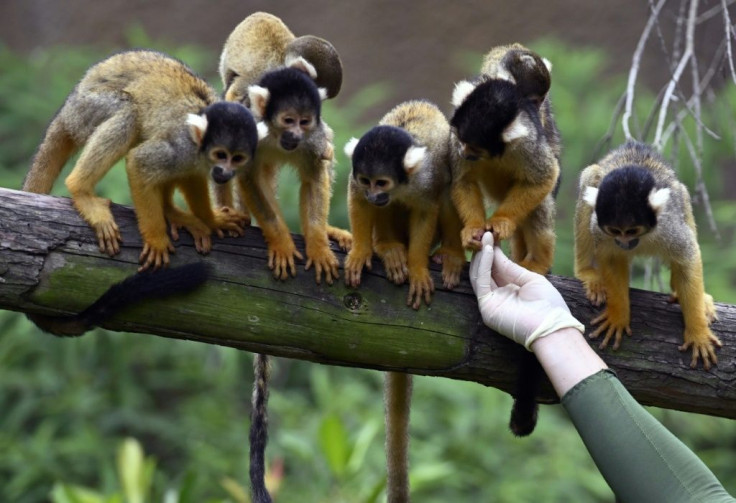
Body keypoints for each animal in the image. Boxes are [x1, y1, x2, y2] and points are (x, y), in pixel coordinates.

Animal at [24, 50, 260, 270]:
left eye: (238, 159)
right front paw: (156, 239)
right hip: (85, 111)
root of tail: (68, 105)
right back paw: (81, 191)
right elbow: (139, 162)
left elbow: (190, 177)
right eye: (220, 155)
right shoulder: (182, 145)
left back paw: (170, 211)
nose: (225, 172)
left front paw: (210, 219)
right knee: (129, 112)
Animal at [342, 99, 462, 503]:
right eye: (367, 181)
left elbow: (428, 208)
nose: (375, 193)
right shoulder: (356, 180)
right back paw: (388, 248)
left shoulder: (425, 179)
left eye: (381, 182)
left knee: (449, 192)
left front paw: (418, 267)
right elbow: (356, 201)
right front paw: (362, 250)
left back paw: (444, 255)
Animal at [572, 142, 720, 370]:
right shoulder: (602, 230)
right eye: (615, 231)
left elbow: (688, 259)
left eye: (632, 230)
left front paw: (698, 333)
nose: (623, 243)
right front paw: (618, 316)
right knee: (590, 176)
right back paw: (587, 271)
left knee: (682, 195)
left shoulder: (669, 226)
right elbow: (611, 259)